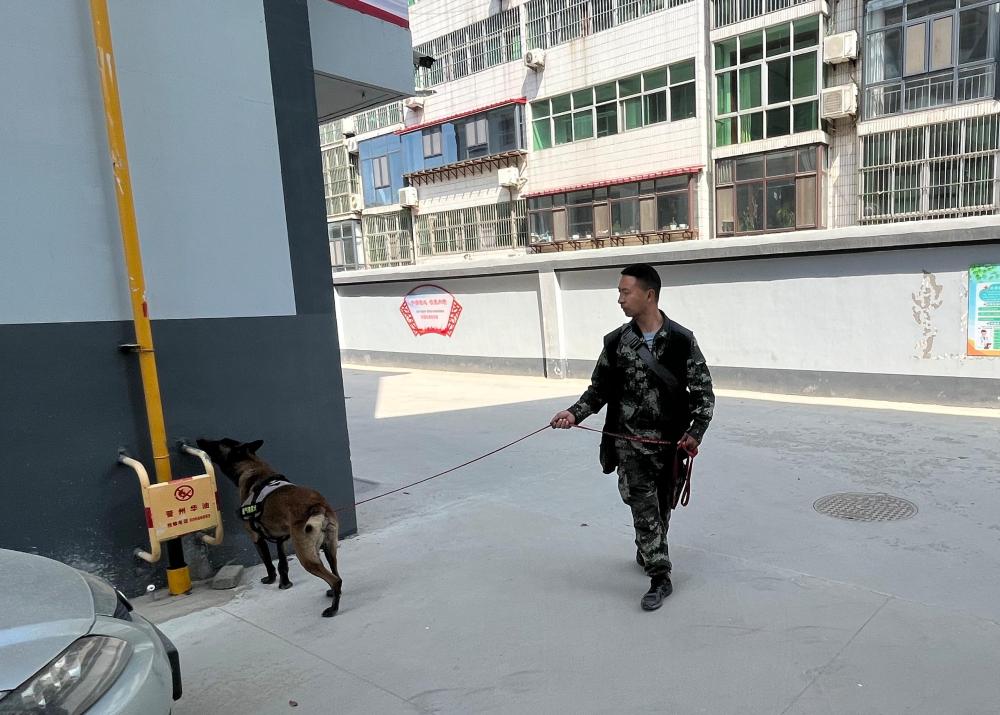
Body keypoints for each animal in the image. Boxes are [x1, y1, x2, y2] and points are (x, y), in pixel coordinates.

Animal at [196, 438, 342, 617]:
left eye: (217, 443)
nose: (200, 439)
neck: (252, 466)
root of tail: (318, 507)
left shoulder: (256, 537)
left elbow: (267, 561)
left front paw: (271, 579)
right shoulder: (281, 539)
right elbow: (282, 564)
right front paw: (285, 583)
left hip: (306, 556)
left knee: (336, 580)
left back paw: (333, 608)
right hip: (329, 548)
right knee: (335, 571)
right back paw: (333, 594)